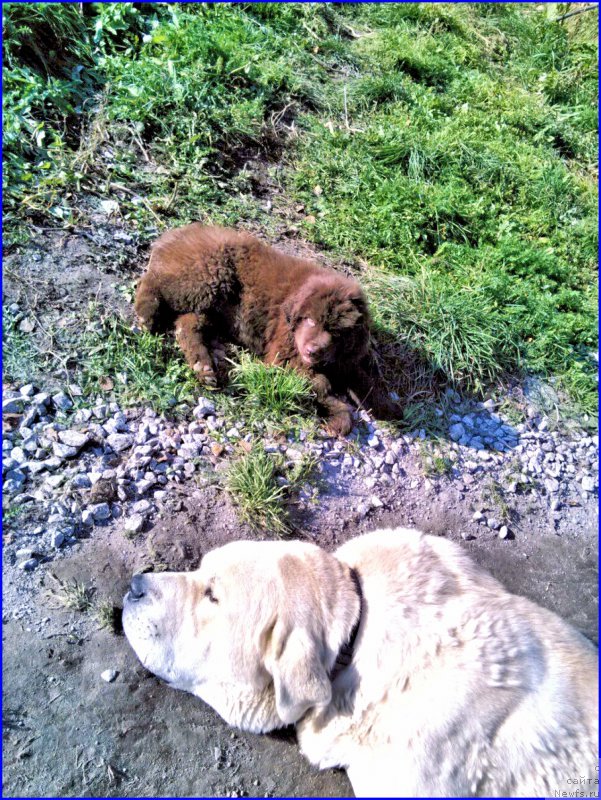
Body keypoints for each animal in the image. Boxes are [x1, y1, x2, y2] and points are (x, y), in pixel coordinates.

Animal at [135, 225, 390, 434]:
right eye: (310, 321)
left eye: (338, 333)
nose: (313, 350)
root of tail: (175, 233)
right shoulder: (284, 354)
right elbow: (320, 385)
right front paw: (340, 415)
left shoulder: (345, 360)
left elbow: (363, 379)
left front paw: (388, 406)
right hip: (207, 272)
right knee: (154, 281)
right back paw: (146, 314)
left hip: (208, 304)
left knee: (186, 324)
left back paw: (203, 367)